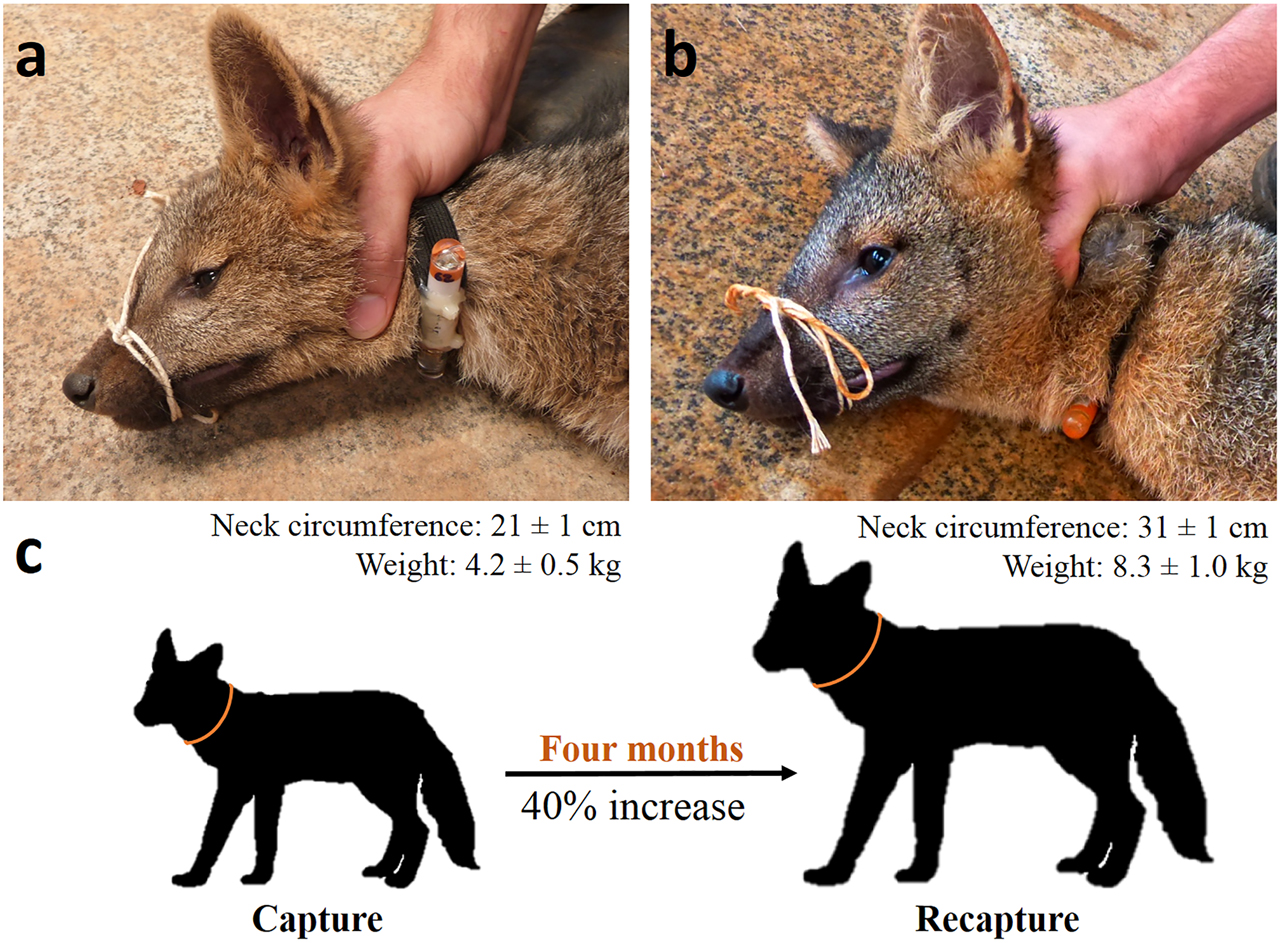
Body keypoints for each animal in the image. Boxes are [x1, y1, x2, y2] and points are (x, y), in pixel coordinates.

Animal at [134, 629, 478, 888]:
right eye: (150, 686)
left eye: (175, 691)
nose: (137, 712)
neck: (228, 718)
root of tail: (418, 715)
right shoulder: (260, 790)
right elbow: (255, 836)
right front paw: (256, 877)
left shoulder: (242, 789)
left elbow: (222, 834)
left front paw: (200, 878)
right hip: (379, 788)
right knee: (403, 827)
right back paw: (383, 869)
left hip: (382, 786)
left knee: (418, 829)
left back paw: (401, 880)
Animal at [754, 543, 1211, 888]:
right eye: (775, 618)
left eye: (807, 627)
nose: (757, 653)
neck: (878, 661)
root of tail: (1132, 657)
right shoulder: (926, 756)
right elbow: (921, 819)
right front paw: (919, 873)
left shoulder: (893, 755)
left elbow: (866, 816)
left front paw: (838, 874)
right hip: (1079, 754)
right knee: (1111, 806)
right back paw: (1084, 863)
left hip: (1084, 752)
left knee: (1132, 809)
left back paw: (1109, 876)